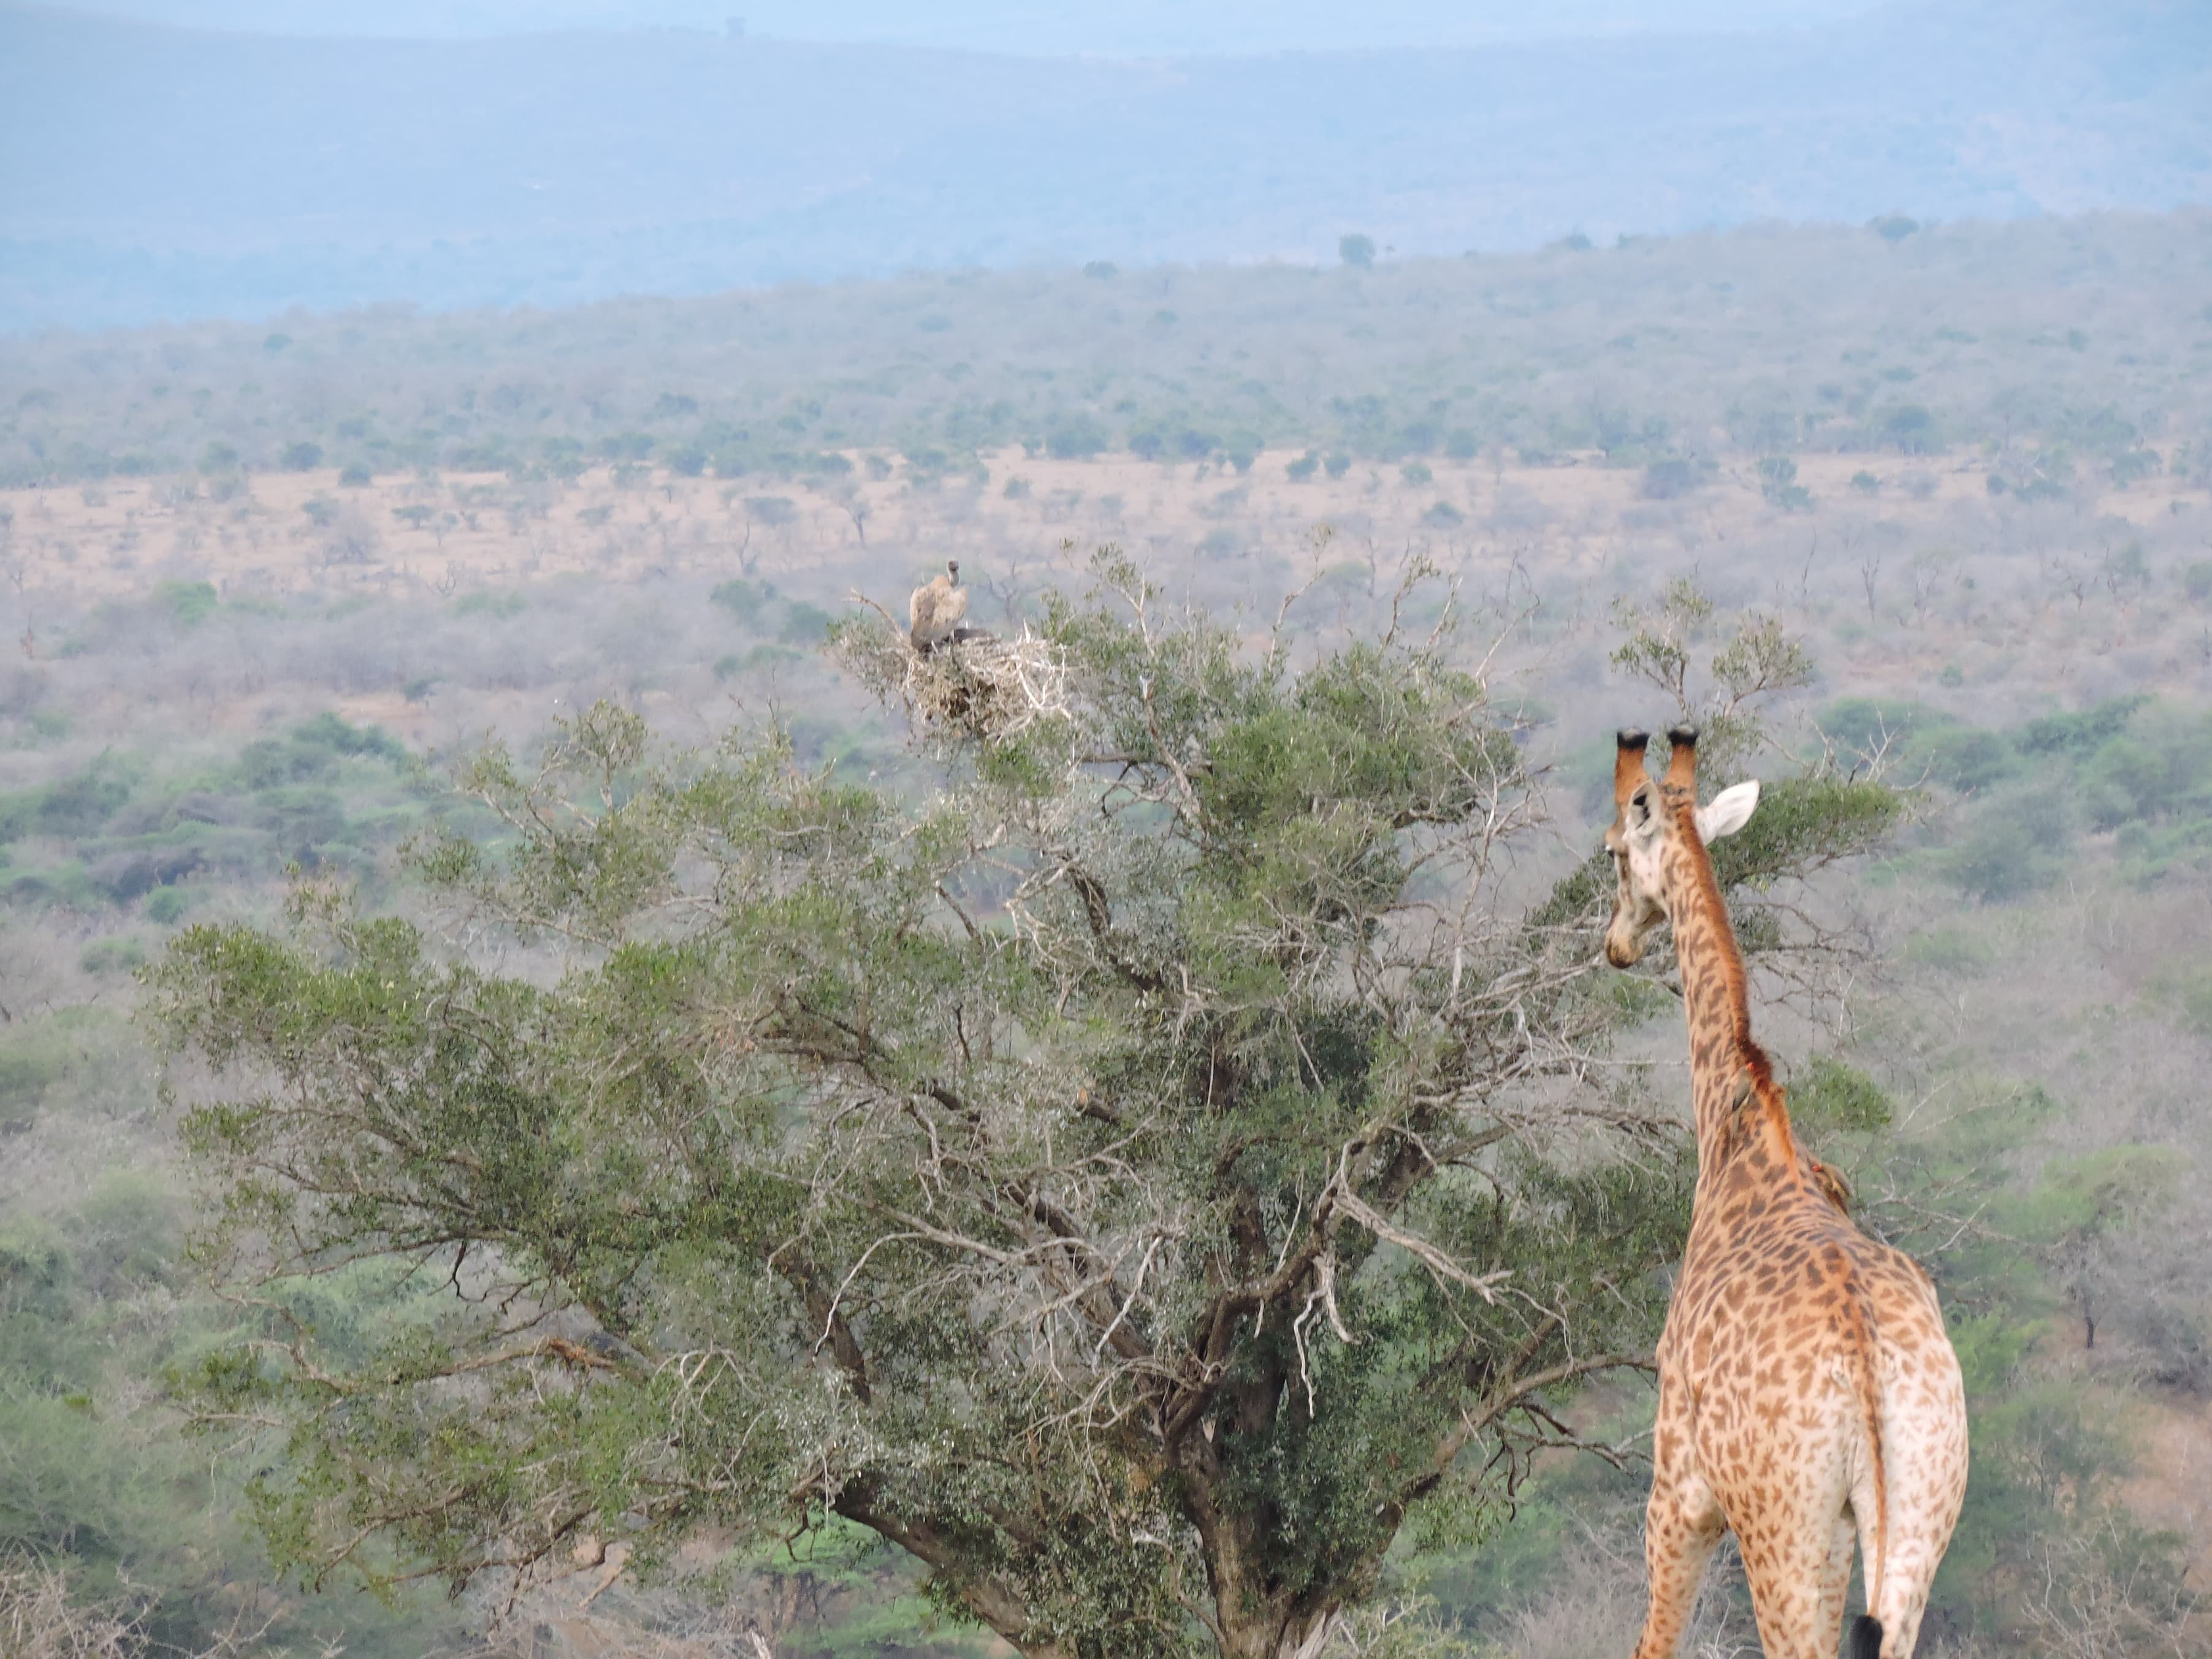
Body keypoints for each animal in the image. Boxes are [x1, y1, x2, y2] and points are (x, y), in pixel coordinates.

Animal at [1606, 726, 1967, 1659]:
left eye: (1613, 851)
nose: (1615, 946)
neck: (1737, 1129)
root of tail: (1871, 1370)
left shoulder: (1677, 1485)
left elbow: (1654, 1641)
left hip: (1782, 1523)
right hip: (1913, 1514)